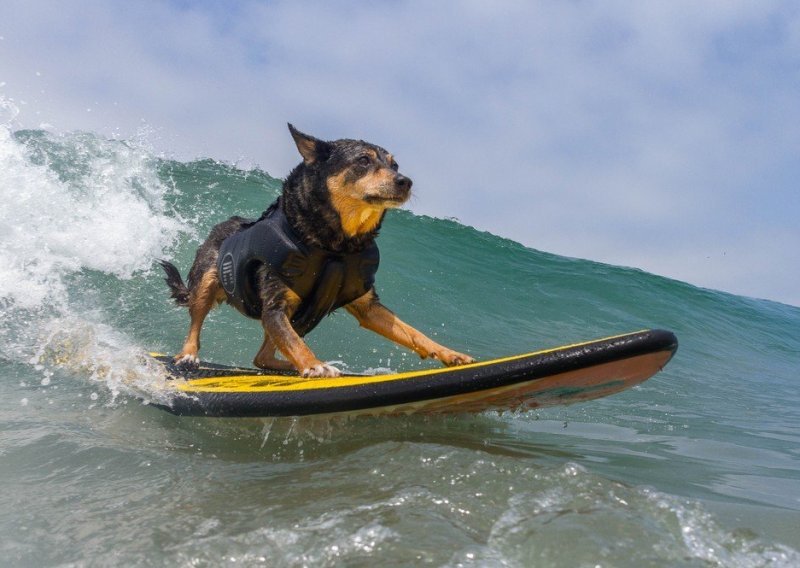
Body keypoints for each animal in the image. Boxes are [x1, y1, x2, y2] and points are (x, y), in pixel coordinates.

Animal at [160, 123, 476, 378]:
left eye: (395, 165)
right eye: (363, 161)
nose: (405, 182)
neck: (335, 245)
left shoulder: (368, 307)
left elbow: (414, 333)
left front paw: (449, 353)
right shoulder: (275, 307)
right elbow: (294, 343)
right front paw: (314, 365)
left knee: (263, 357)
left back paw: (289, 366)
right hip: (207, 280)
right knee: (198, 320)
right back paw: (189, 354)